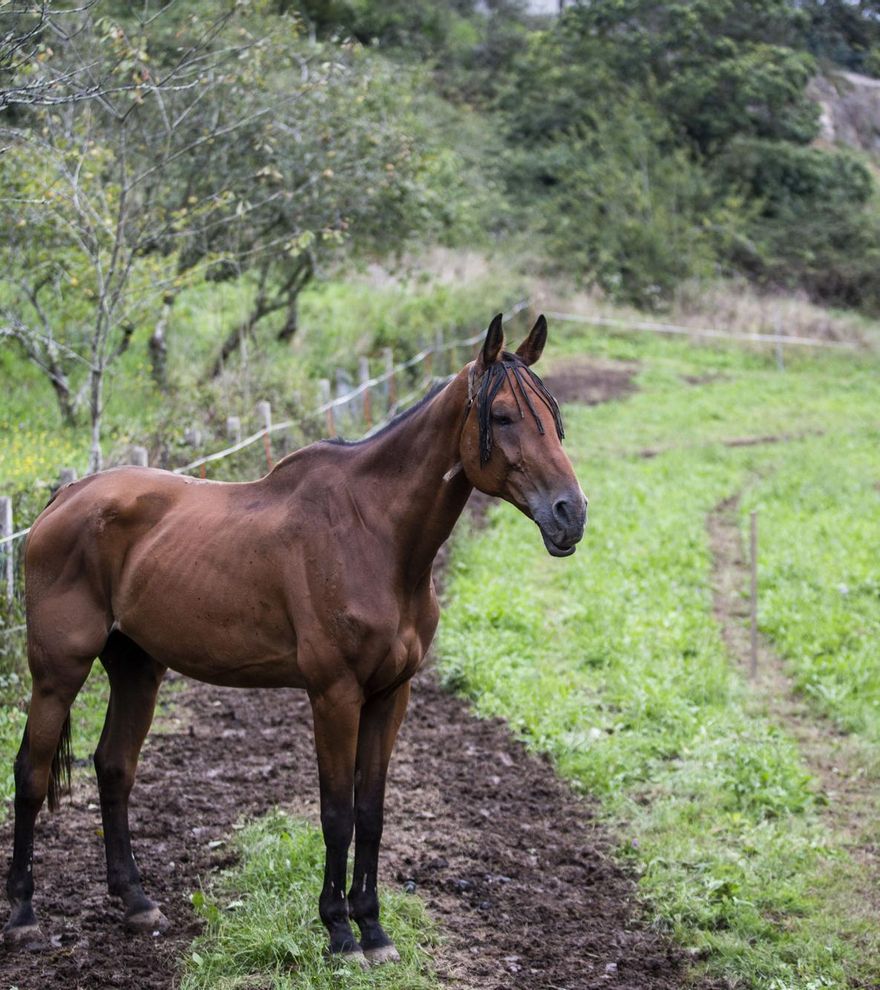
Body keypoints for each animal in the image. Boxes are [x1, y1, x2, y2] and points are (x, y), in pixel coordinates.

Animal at [6, 316, 588, 968]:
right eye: (505, 415)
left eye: (554, 417)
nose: (570, 514)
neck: (373, 534)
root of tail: (64, 498)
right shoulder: (334, 695)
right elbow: (336, 814)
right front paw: (339, 933)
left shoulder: (391, 695)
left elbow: (371, 811)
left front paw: (374, 930)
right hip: (58, 670)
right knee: (30, 774)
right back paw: (24, 916)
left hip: (137, 669)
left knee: (113, 767)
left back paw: (136, 903)